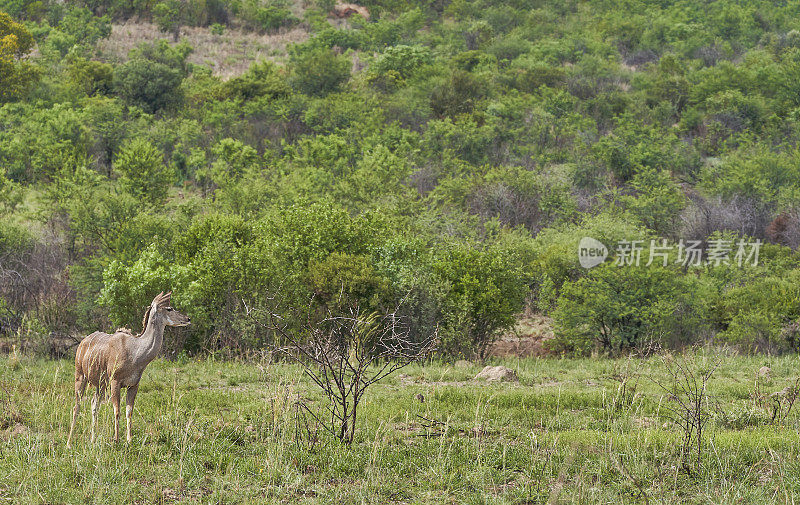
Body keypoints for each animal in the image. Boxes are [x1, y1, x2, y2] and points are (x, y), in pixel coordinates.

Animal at [66, 292, 190, 444]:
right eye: (169, 308)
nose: (188, 319)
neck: (135, 351)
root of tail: (82, 343)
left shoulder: (133, 385)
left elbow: (129, 411)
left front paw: (129, 440)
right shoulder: (115, 383)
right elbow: (117, 410)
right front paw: (116, 440)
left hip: (100, 385)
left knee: (94, 404)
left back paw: (92, 440)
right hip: (80, 377)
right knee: (76, 406)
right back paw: (69, 443)